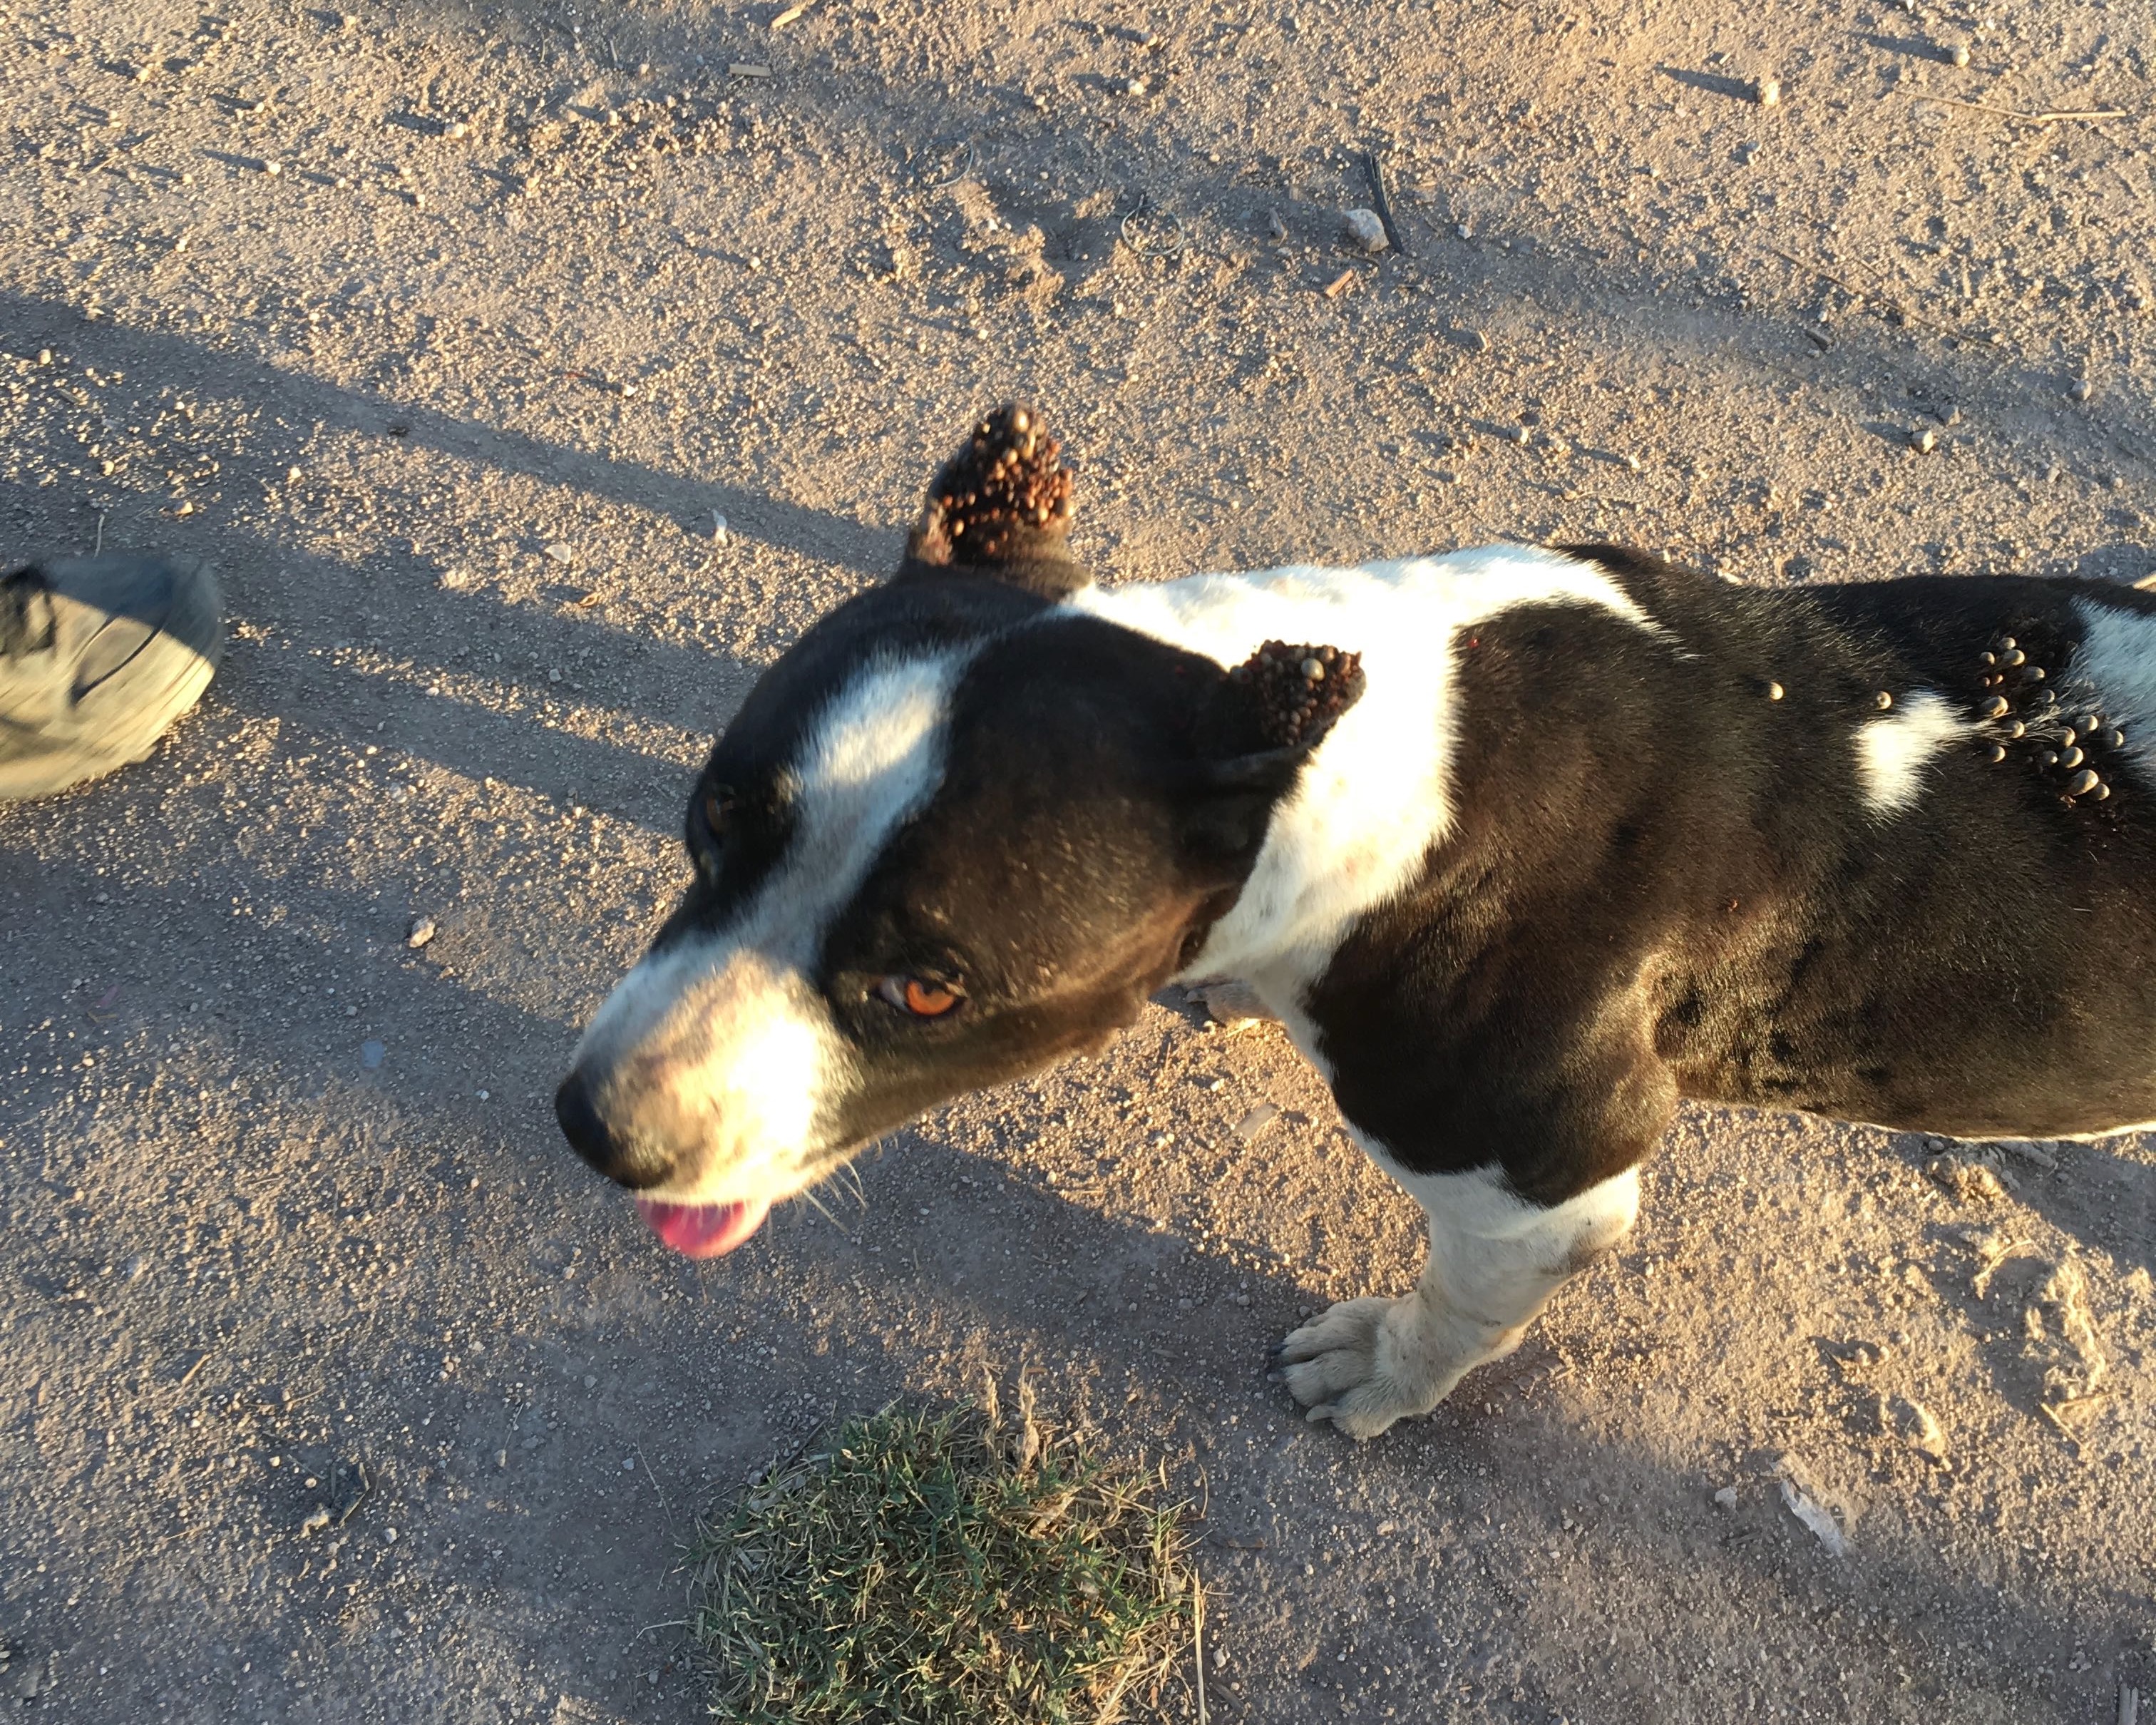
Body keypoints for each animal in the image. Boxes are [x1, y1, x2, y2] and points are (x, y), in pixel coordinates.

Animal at [556, 407, 2156, 1440]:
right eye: (709, 826)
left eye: (931, 988)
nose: (597, 1127)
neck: (1398, 772)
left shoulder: (1542, 1184)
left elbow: (1455, 1310)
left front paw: (1381, 1373)